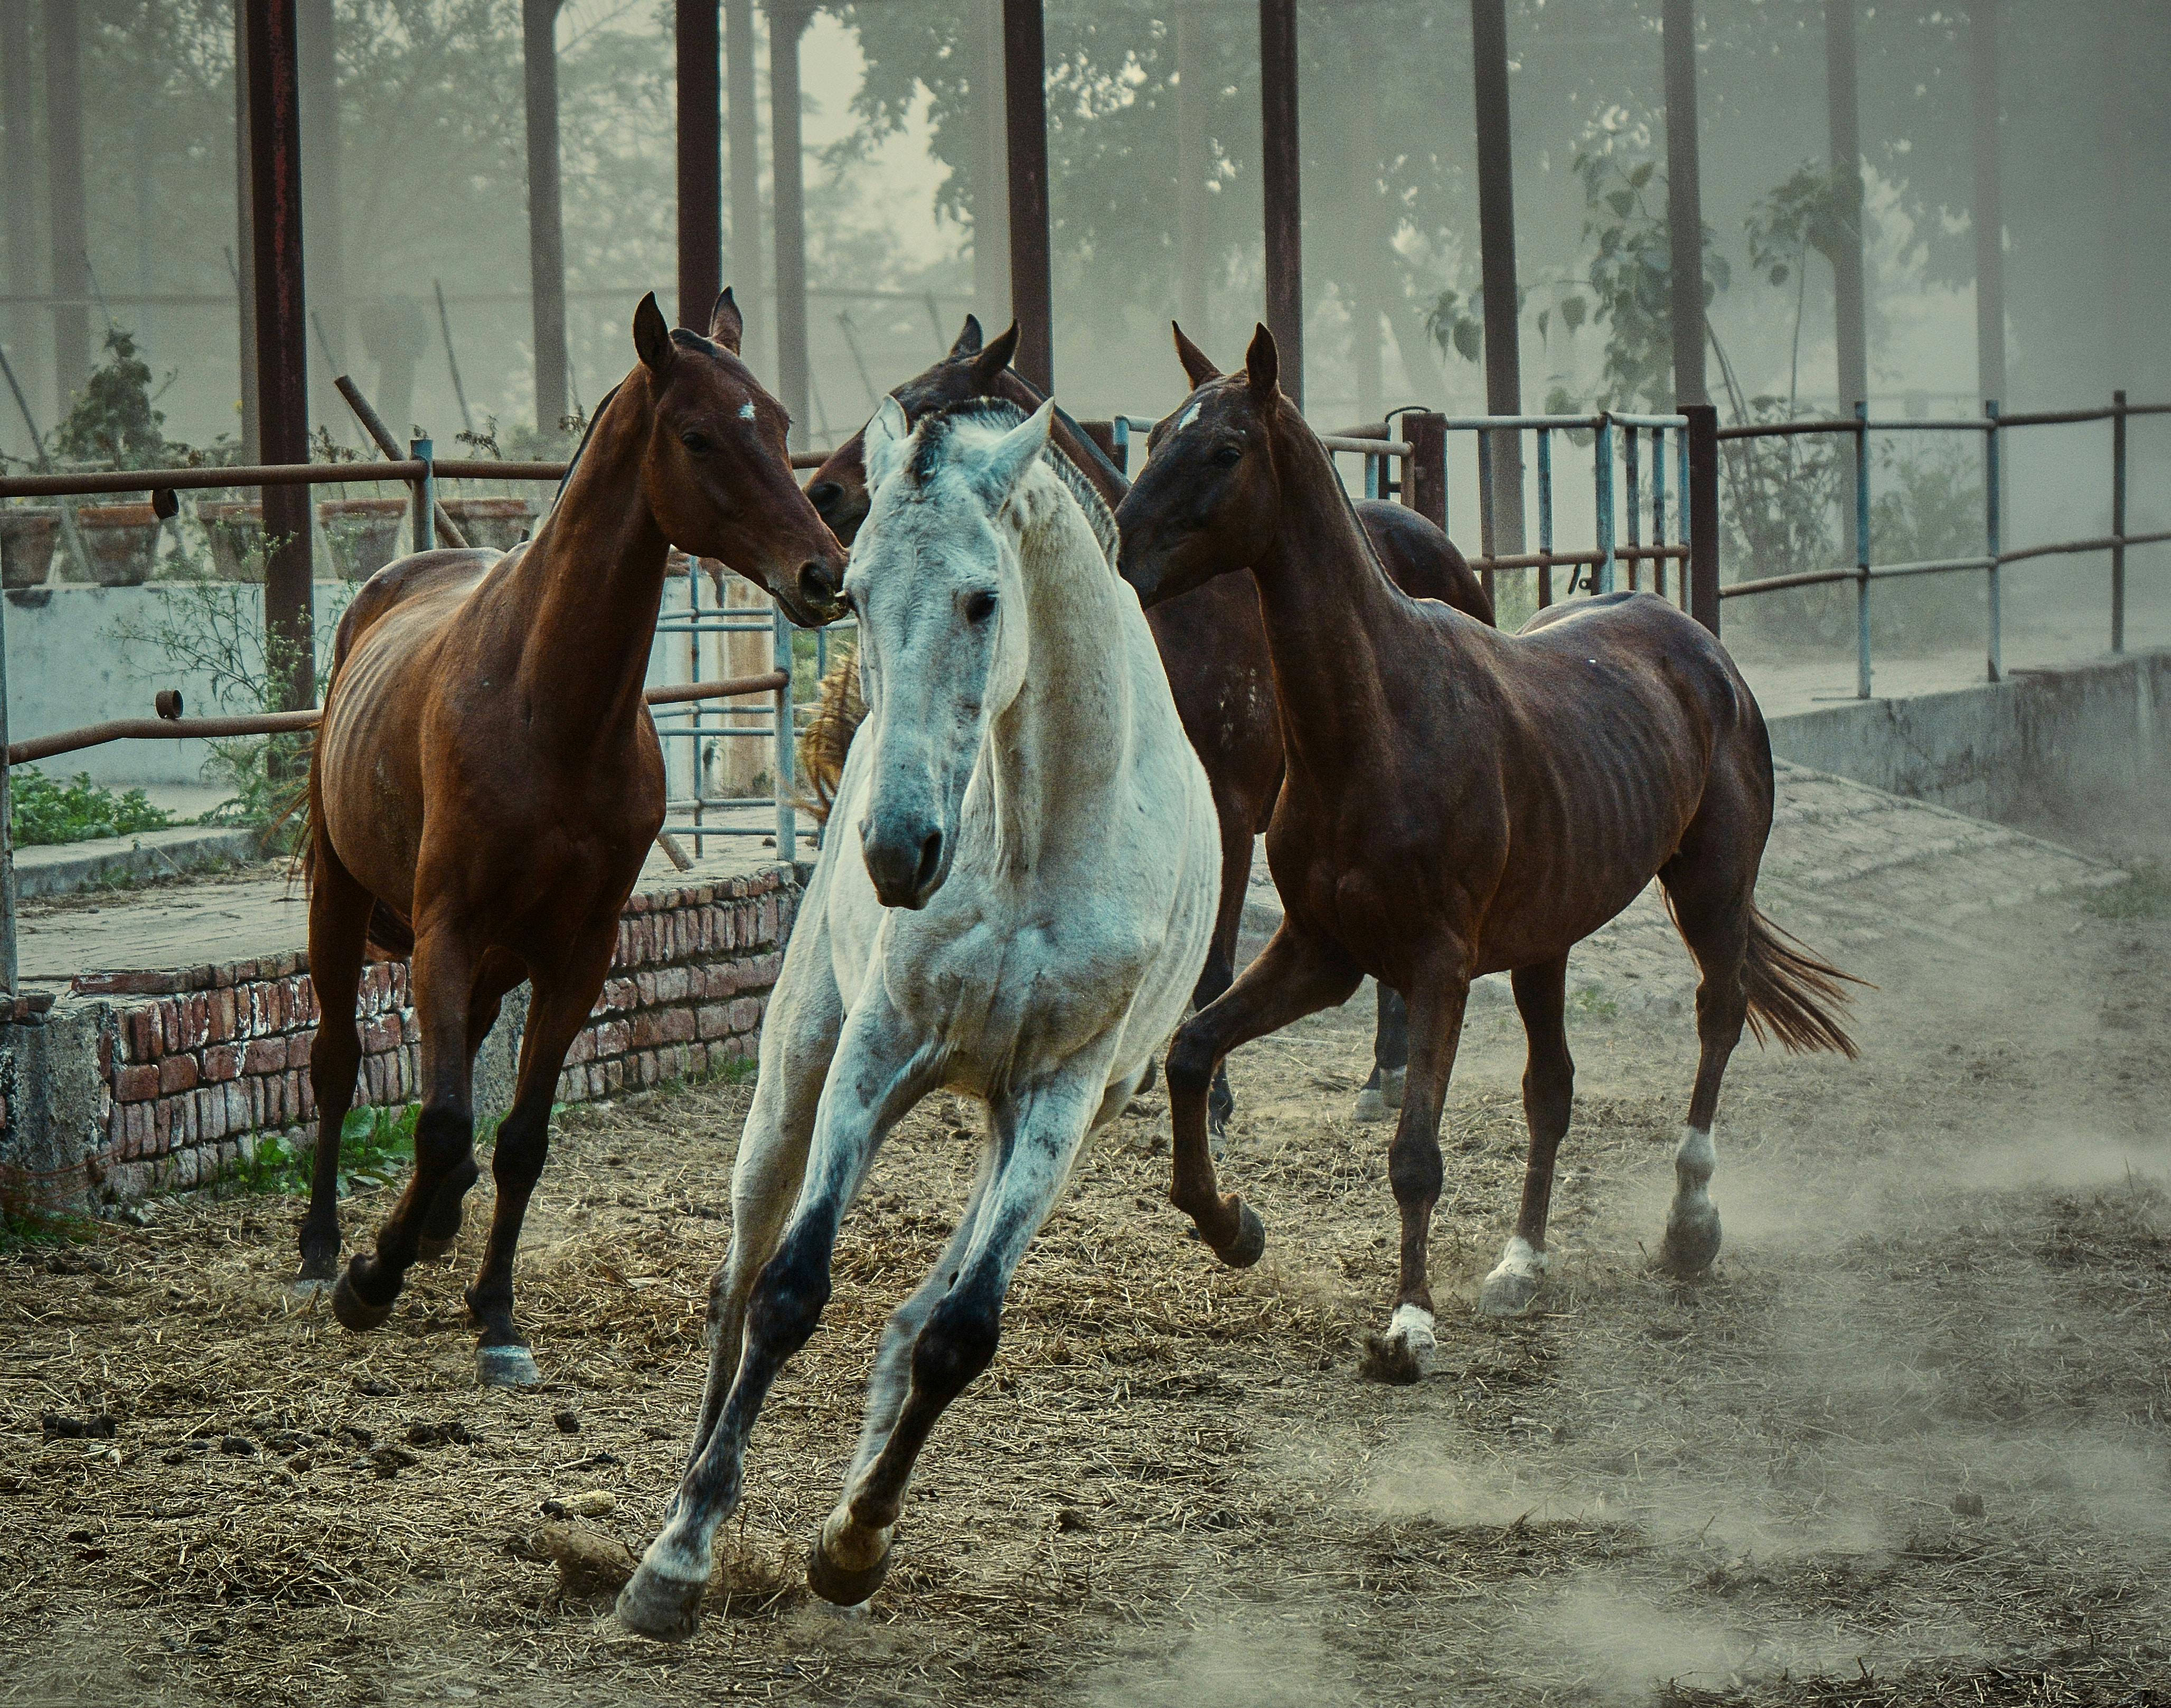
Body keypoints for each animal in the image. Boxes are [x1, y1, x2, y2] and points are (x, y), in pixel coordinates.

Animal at [300, 292, 848, 1387]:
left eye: (774, 418)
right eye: (698, 434)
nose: (823, 573)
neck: (546, 707)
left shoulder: (579, 952)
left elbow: (518, 1137)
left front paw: (498, 1316)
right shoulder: (444, 927)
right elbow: (443, 1120)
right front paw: (370, 1279)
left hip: (501, 955)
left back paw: (433, 1231)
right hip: (341, 900)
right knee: (336, 1060)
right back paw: (322, 1250)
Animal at [616, 396, 1218, 1636]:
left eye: (984, 598)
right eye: (855, 594)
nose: (897, 849)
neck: (1034, 835)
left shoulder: (1061, 1091)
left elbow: (960, 1332)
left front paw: (854, 1540)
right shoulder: (874, 1052)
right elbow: (791, 1293)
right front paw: (682, 1554)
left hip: (1030, 1123)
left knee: (924, 1305)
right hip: (793, 1075)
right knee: (737, 1278)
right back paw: (683, 1494)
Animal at [803, 315, 1495, 1133]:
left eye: (926, 404)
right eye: (1160, 433)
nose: (821, 491)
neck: (1180, 627)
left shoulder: (1228, 817)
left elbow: (1216, 966)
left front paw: (1215, 1102)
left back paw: (1383, 1070)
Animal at [1114, 325, 1858, 1384]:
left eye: (1223, 450)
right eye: (1151, 441)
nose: (1120, 556)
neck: (1376, 722)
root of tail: (1699, 647)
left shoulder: (1438, 963)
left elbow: (1414, 1152)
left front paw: (1406, 1325)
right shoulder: (1321, 953)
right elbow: (1188, 1052)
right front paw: (1233, 1226)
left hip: (1710, 890)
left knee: (1717, 1019)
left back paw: (1688, 1224)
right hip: (1546, 942)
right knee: (1551, 1091)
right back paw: (1520, 1265)